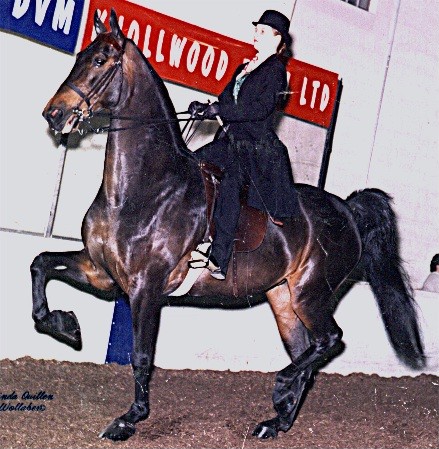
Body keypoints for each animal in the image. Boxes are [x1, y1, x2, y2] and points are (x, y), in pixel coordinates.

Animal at [32, 9, 425, 442]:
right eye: (80, 57)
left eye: (100, 61)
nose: (53, 114)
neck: (144, 189)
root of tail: (347, 210)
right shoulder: (101, 271)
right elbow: (40, 264)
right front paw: (66, 325)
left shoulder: (145, 287)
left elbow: (141, 354)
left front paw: (129, 418)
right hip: (284, 298)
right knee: (308, 351)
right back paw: (276, 421)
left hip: (312, 293)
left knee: (330, 340)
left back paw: (281, 389)